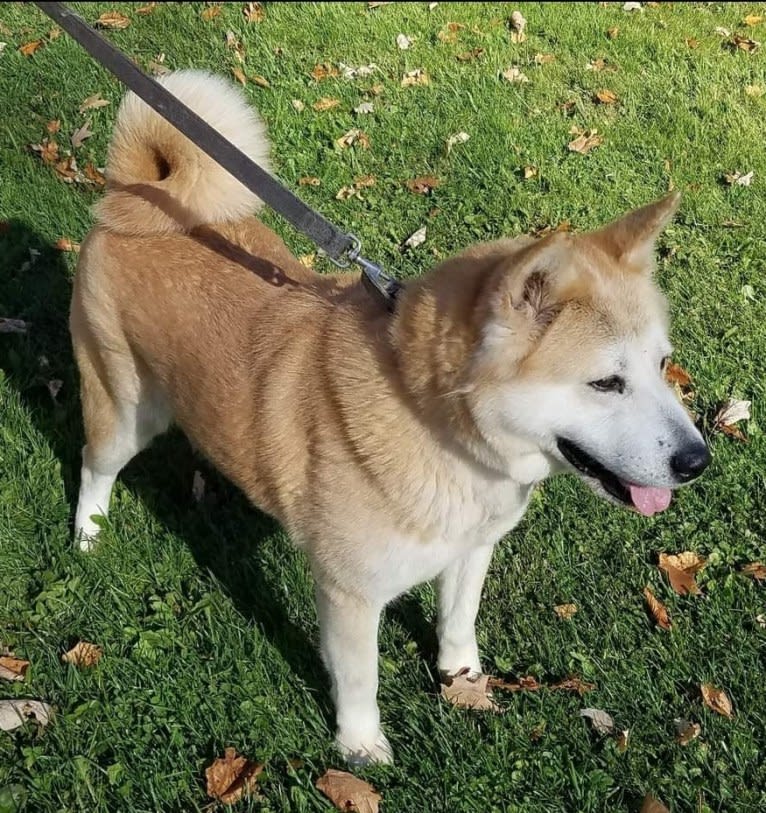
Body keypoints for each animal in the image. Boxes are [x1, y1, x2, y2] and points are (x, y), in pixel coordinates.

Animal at [72, 71, 712, 768]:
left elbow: (458, 625)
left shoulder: (471, 550)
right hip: (124, 410)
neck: (438, 432)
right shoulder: (349, 594)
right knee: (92, 465)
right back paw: (87, 534)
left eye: (663, 364)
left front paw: (463, 682)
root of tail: (135, 195)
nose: (698, 461)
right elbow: (360, 679)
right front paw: (360, 746)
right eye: (605, 383)